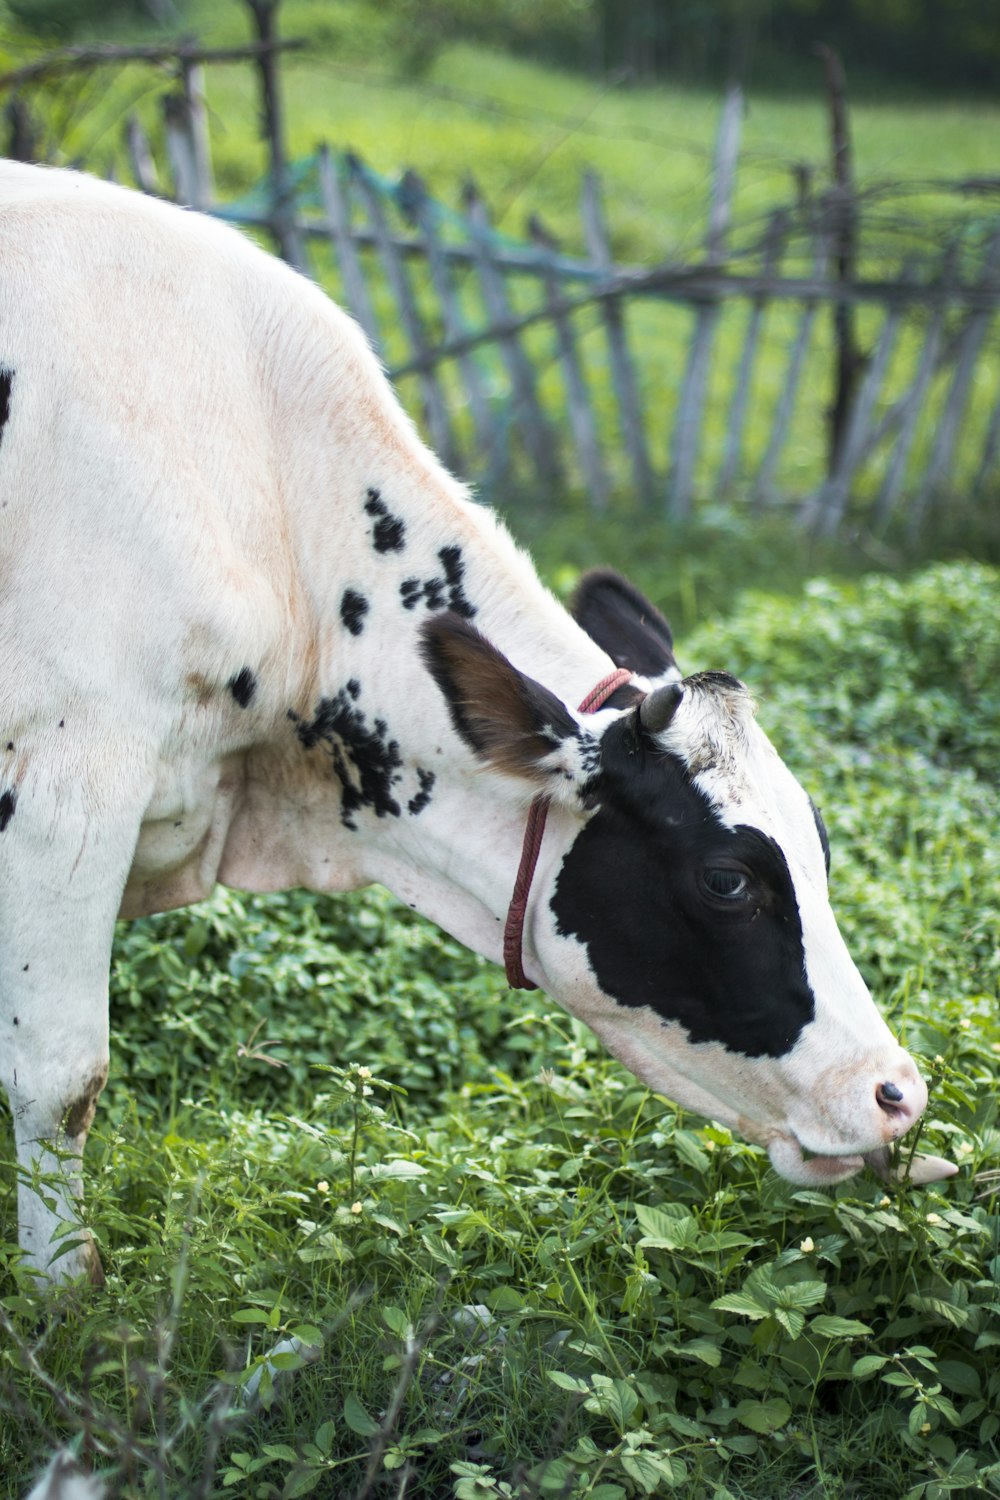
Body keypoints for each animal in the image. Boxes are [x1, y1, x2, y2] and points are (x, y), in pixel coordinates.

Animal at [0, 164, 953, 1290]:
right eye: (729, 881)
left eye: (819, 845)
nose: (895, 1092)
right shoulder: (66, 792)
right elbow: (62, 1076)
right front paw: (61, 1302)